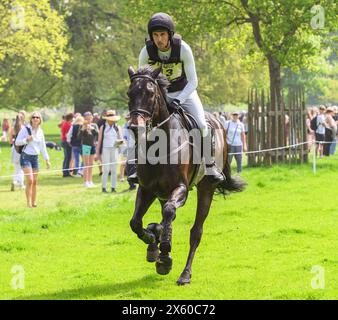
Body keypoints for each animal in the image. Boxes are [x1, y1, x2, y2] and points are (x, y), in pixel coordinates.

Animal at [127, 65, 246, 284]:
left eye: (150, 93)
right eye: (129, 93)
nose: (134, 126)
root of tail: (218, 121)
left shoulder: (181, 188)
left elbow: (168, 213)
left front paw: (165, 256)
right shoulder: (147, 189)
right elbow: (136, 222)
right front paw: (152, 239)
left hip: (206, 188)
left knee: (195, 231)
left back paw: (185, 274)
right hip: (162, 194)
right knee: (166, 217)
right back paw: (156, 239)